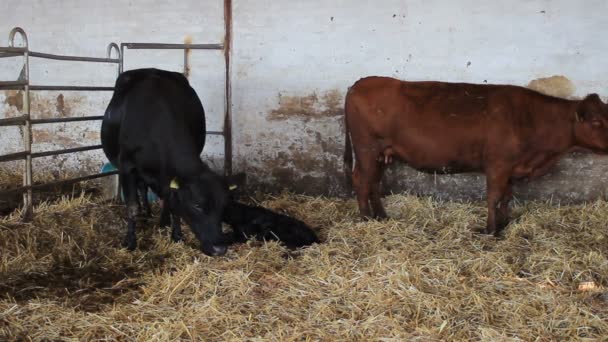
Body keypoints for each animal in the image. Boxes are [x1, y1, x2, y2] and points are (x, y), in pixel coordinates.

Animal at [102, 68, 230, 255]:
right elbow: (132, 207)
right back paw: (146, 213)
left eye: (223, 206)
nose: (219, 248)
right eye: (197, 205)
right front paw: (130, 241)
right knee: (142, 188)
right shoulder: (126, 166)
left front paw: (176, 235)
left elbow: (173, 203)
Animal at [344, 76, 608, 235]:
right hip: (367, 149)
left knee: (374, 183)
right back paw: (366, 218)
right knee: (362, 180)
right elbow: (493, 197)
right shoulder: (498, 165)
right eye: (596, 121)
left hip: (381, 154)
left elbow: (506, 197)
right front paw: (490, 230)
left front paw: (504, 223)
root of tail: (361, 82)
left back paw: (381, 216)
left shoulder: (511, 169)